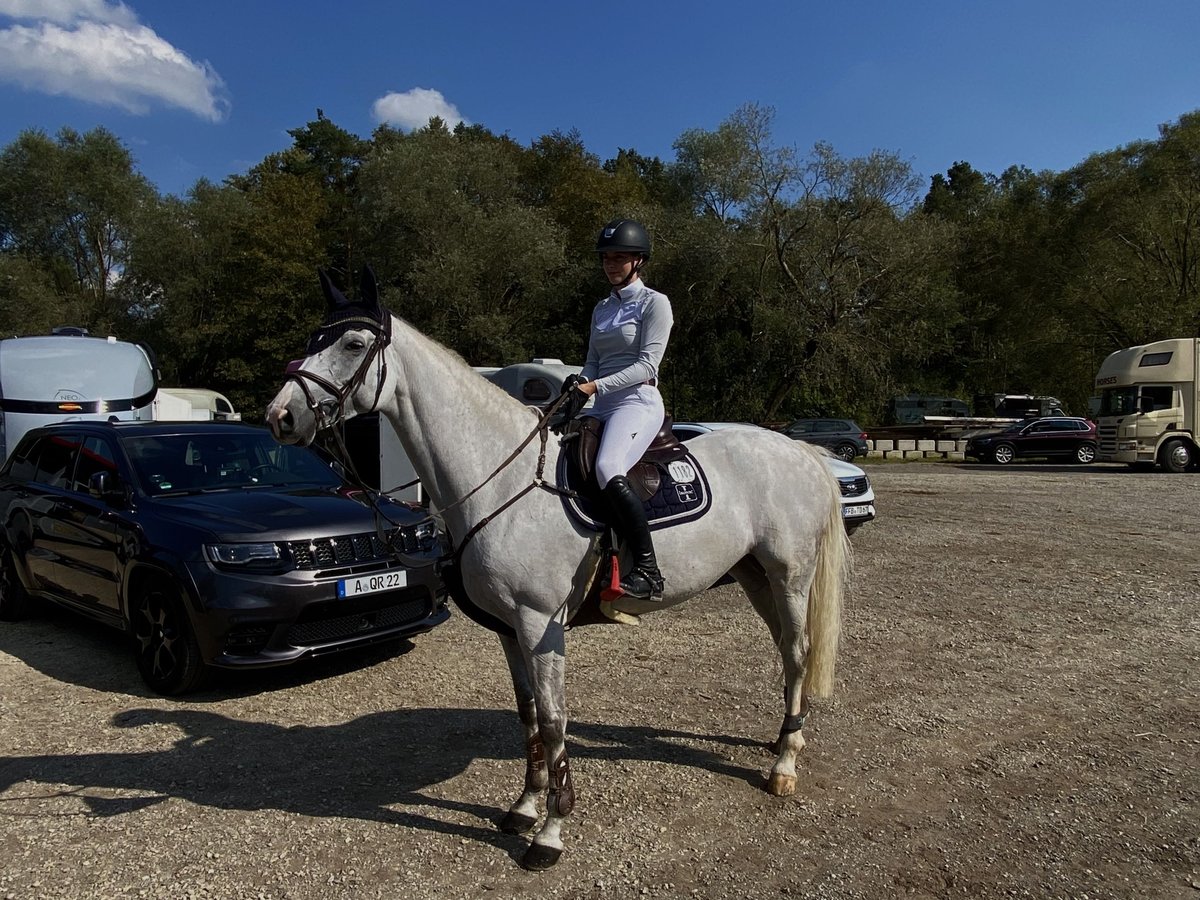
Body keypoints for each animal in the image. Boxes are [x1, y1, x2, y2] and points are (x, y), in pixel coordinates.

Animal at [267, 270, 849, 873]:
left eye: (353, 344)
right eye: (314, 338)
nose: (280, 416)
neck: (500, 477)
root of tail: (801, 451)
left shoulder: (539, 622)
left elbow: (552, 719)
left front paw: (550, 832)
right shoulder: (507, 629)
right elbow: (527, 716)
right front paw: (523, 807)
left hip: (790, 576)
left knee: (799, 652)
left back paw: (783, 765)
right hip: (755, 576)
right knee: (786, 652)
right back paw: (783, 740)